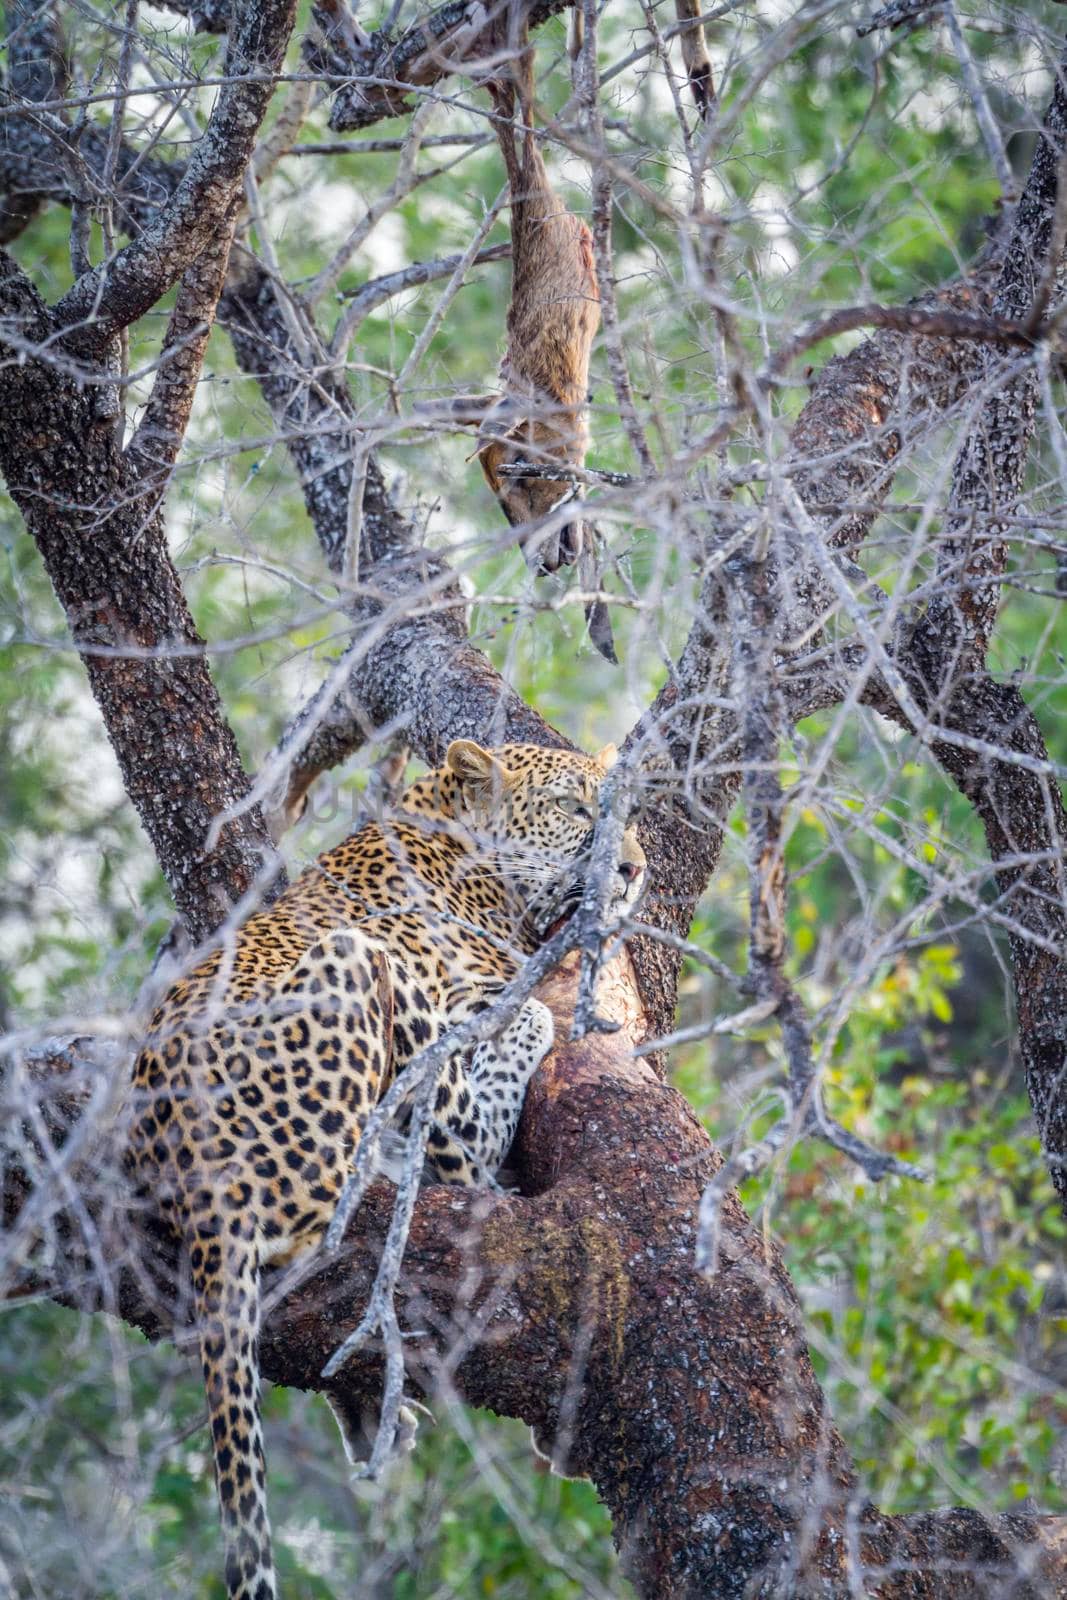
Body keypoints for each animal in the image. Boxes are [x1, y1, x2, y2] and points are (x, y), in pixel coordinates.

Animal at [125, 736, 643, 1600]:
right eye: (574, 810)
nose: (632, 869)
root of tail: (200, 1176)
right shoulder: (444, 1011)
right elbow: (517, 1026)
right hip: (356, 972)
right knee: (412, 1167)